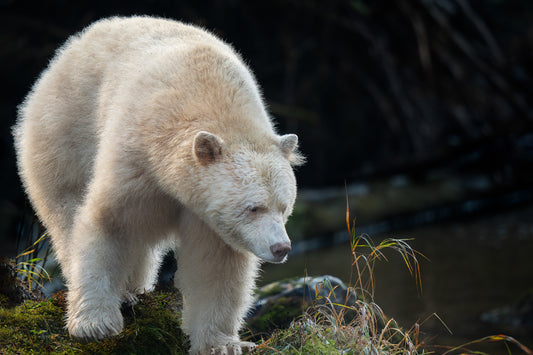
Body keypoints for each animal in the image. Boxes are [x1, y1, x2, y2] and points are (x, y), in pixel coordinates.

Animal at [12, 17, 302, 355]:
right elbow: (110, 222)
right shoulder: (137, 159)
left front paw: (221, 344)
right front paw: (95, 323)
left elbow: (216, 265)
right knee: (66, 208)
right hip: (63, 130)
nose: (281, 248)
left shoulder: (207, 215)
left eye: (284, 208)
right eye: (254, 207)